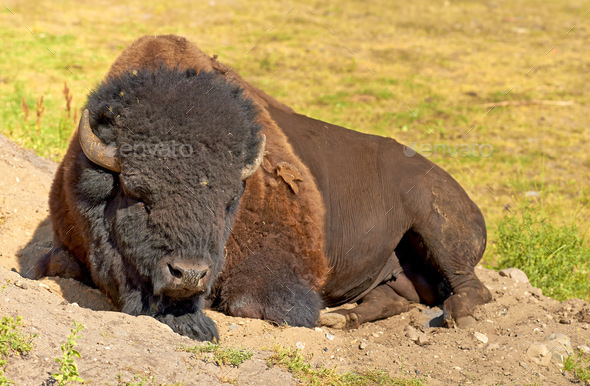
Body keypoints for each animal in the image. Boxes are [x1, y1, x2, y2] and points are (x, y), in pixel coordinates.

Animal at [34, 34, 492, 340]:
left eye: (229, 201)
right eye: (135, 192)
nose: (189, 273)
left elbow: (252, 302)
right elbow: (56, 266)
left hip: (435, 222)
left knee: (471, 286)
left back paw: (453, 316)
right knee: (392, 298)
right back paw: (342, 317)